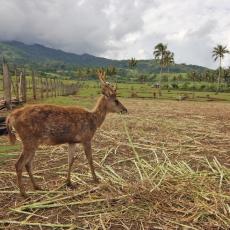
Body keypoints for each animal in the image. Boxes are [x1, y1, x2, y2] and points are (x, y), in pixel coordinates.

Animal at [6, 70, 127, 198]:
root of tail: (11, 117)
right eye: (116, 100)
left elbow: (70, 161)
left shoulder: (72, 141)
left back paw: (37, 186)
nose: (125, 109)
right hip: (28, 139)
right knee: (19, 164)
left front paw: (68, 182)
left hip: (33, 142)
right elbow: (90, 159)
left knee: (28, 164)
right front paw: (95, 179)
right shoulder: (86, 138)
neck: (93, 120)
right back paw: (24, 193)